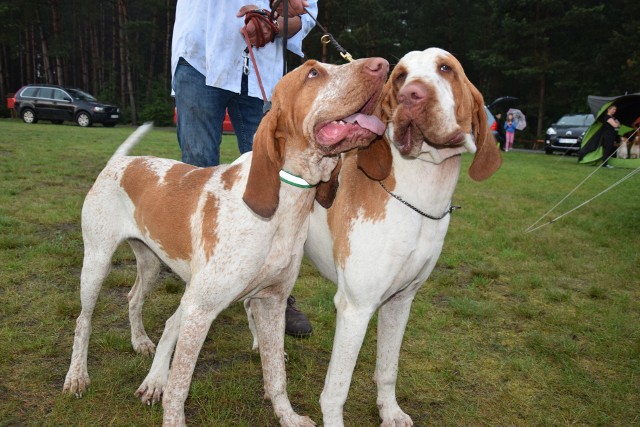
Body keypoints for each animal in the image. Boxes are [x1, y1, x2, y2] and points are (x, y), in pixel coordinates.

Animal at [62, 57, 388, 427]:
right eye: (313, 72)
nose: (382, 65)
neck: (285, 206)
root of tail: (120, 162)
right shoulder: (200, 309)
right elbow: (179, 387)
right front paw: (172, 418)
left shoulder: (271, 302)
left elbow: (276, 375)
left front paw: (287, 416)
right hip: (97, 262)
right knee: (83, 321)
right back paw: (77, 376)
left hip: (150, 264)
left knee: (133, 298)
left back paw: (140, 341)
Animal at [302, 48, 502, 426]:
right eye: (400, 77)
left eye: (445, 68)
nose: (413, 94)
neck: (420, 196)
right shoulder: (355, 308)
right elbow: (336, 390)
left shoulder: (400, 301)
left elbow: (388, 368)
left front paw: (390, 411)